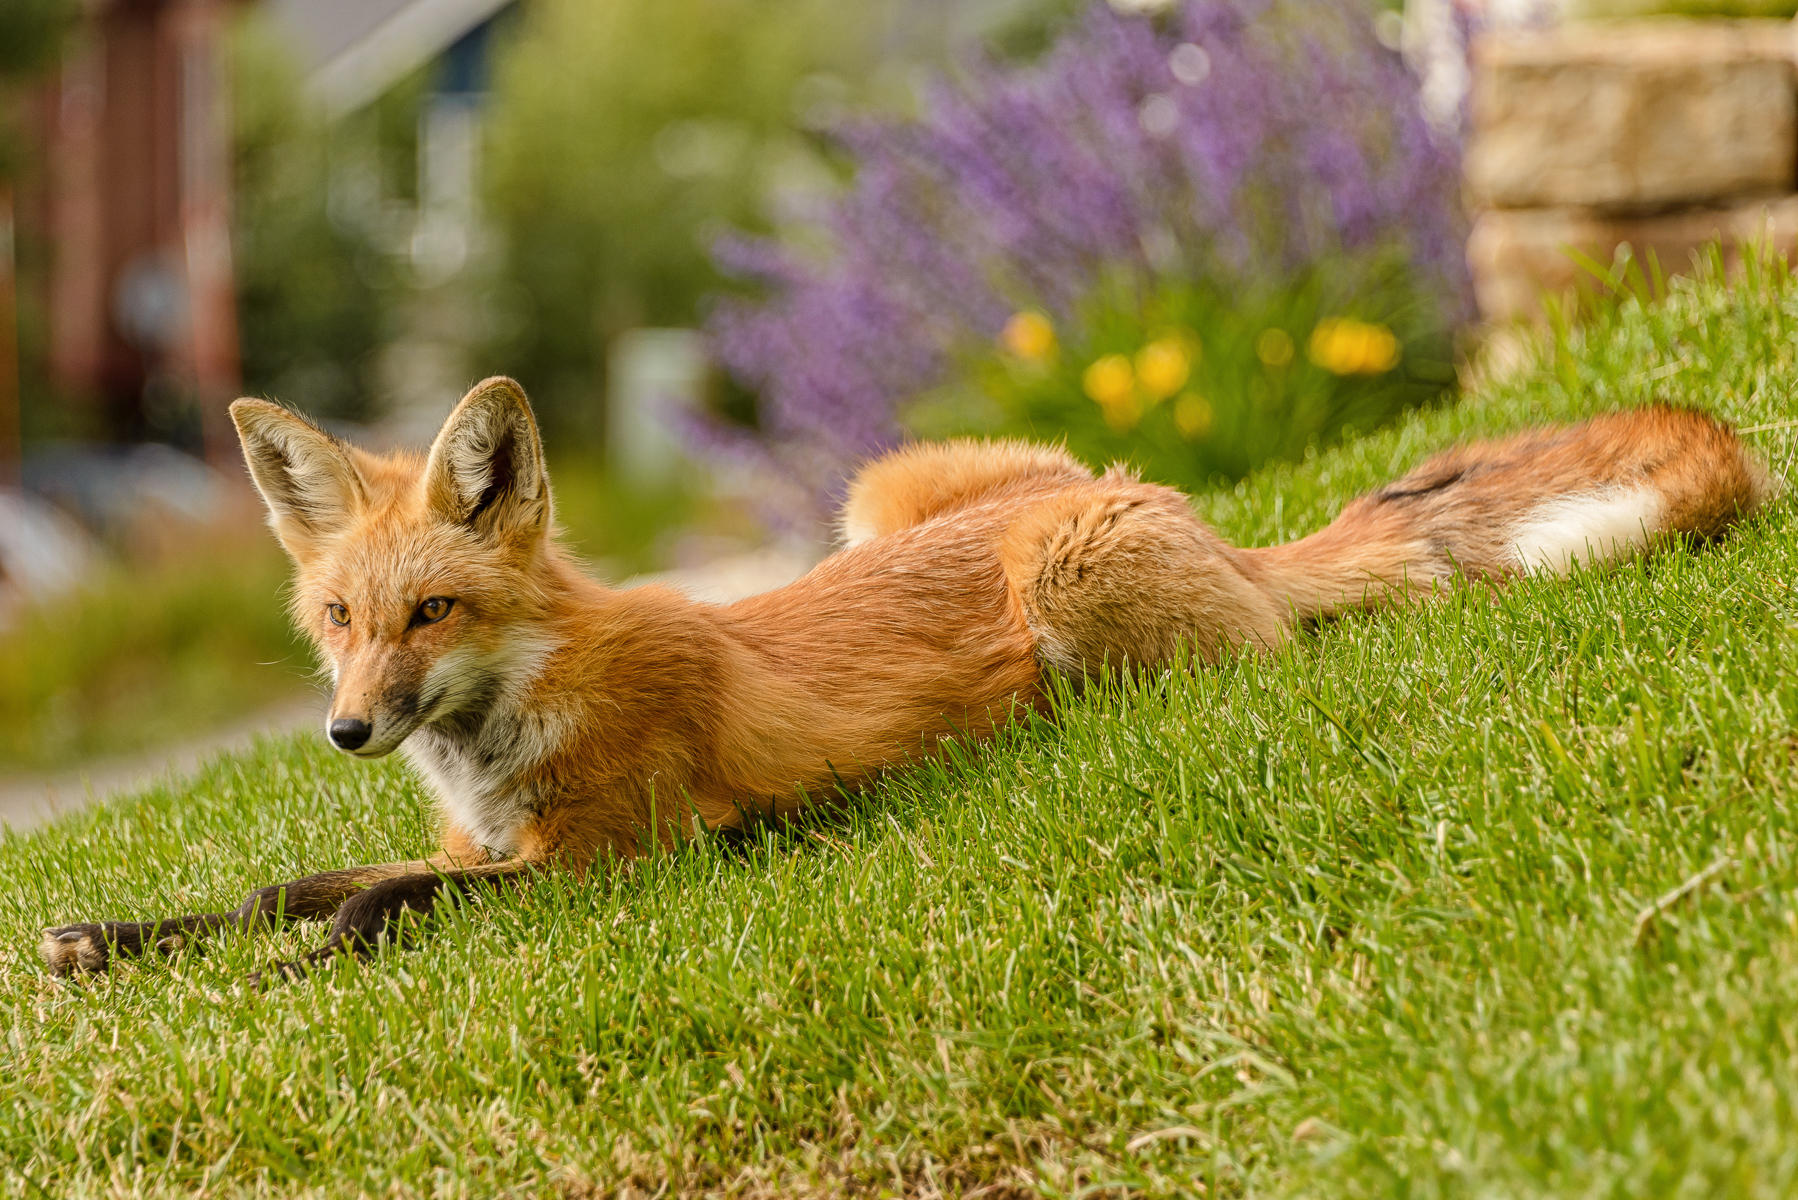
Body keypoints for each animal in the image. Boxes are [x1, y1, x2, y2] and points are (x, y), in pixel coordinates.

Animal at [38, 379, 1769, 978]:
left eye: (430, 613)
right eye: (336, 619)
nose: (343, 729)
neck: (502, 734)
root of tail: (1180, 500)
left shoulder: (622, 860)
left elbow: (377, 908)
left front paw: (293, 976)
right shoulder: (487, 844)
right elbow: (282, 886)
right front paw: (113, 941)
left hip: (1070, 584)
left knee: (1248, 658)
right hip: (883, 489)